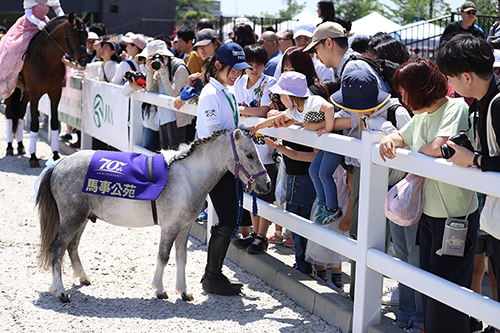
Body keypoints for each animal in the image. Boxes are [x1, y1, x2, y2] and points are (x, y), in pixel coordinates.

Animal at [7, 13, 89, 166]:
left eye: (86, 35)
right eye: (72, 34)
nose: (83, 61)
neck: (47, 60)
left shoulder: (55, 93)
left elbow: (55, 123)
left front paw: (55, 155)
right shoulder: (35, 94)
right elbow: (34, 124)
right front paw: (33, 158)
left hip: (26, 92)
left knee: (20, 112)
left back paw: (20, 146)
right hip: (10, 88)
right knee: (10, 113)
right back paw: (9, 147)